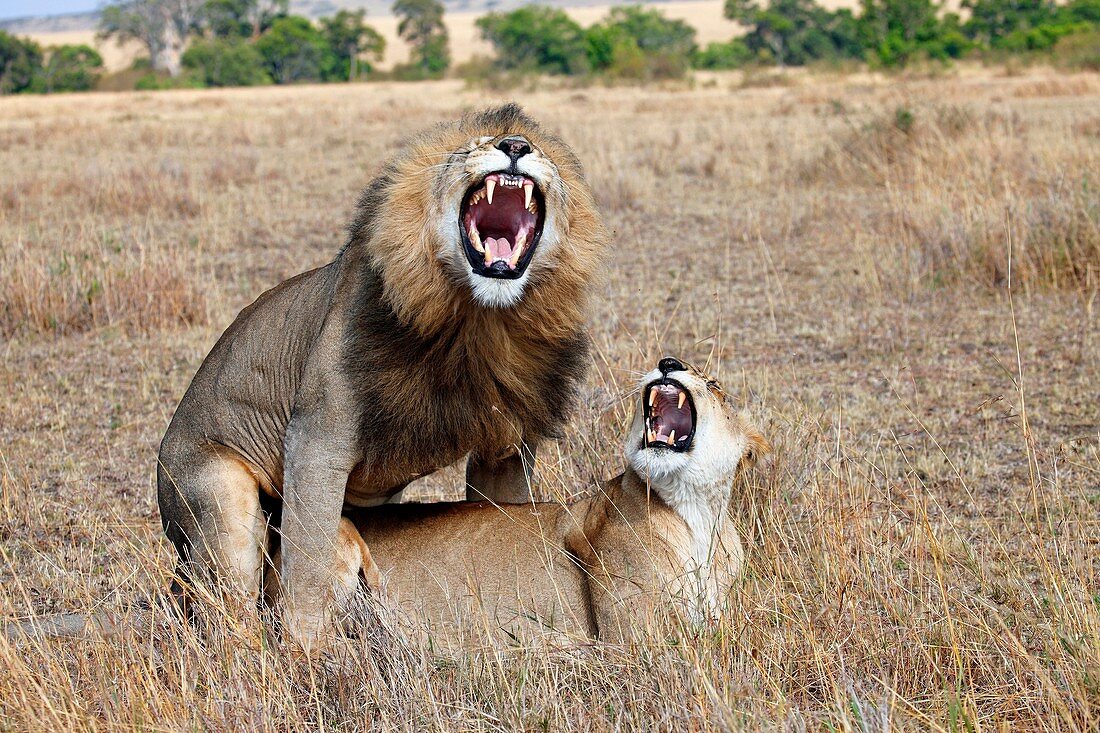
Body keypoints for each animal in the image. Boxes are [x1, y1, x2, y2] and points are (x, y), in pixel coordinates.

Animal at [158, 104, 611, 647]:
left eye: (539, 151)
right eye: (470, 148)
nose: (516, 147)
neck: (479, 319)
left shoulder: (506, 444)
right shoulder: (316, 440)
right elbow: (307, 562)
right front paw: (305, 650)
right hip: (219, 500)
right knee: (230, 601)